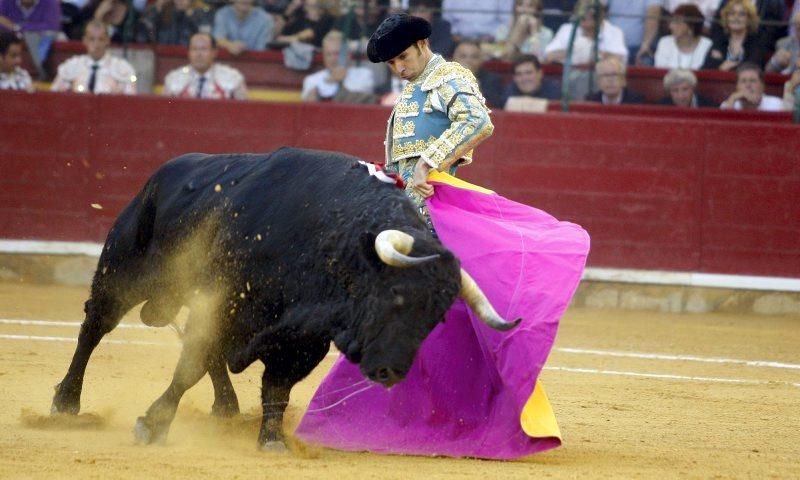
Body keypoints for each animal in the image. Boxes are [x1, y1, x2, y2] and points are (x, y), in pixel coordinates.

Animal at [50, 147, 520, 450]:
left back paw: (227, 406)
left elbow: (276, 386)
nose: (390, 372)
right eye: (397, 297)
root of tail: (162, 173)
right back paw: (65, 402)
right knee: (95, 327)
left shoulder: (303, 340)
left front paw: (273, 440)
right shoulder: (227, 302)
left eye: (435, 319)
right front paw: (153, 424)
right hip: (126, 272)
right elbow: (189, 368)